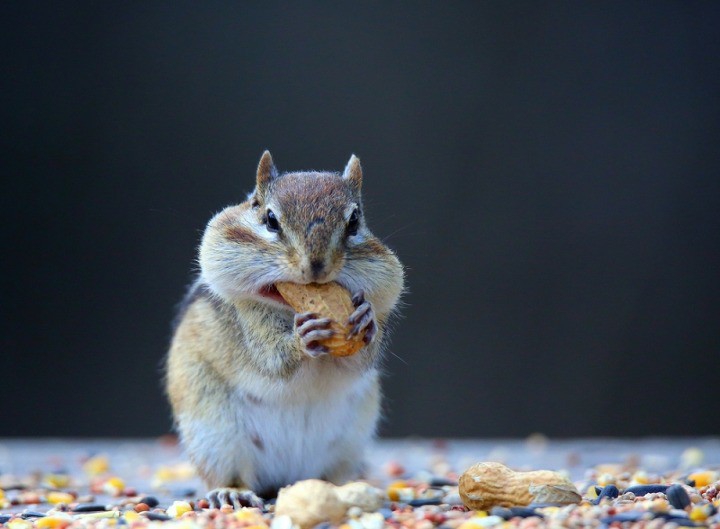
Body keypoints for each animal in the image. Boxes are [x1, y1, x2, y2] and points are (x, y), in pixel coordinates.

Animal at [165, 151, 404, 508]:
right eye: (270, 219)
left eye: (354, 222)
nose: (316, 267)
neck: (289, 309)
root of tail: (287, 477)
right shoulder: (246, 326)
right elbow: (270, 359)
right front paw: (301, 339)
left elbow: (358, 358)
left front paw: (366, 319)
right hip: (213, 432)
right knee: (232, 472)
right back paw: (232, 491)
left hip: (351, 438)